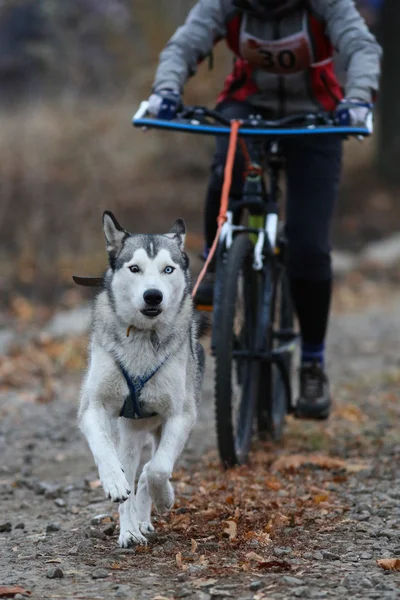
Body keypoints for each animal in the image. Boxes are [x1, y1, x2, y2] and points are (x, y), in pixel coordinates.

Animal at [77, 213, 205, 548]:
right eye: (134, 268)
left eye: (168, 269)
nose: (153, 295)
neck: (143, 338)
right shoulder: (93, 407)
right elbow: (104, 448)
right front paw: (113, 481)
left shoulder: (180, 415)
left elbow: (158, 469)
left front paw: (164, 498)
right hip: (130, 434)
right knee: (131, 470)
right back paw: (130, 530)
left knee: (149, 468)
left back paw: (145, 516)